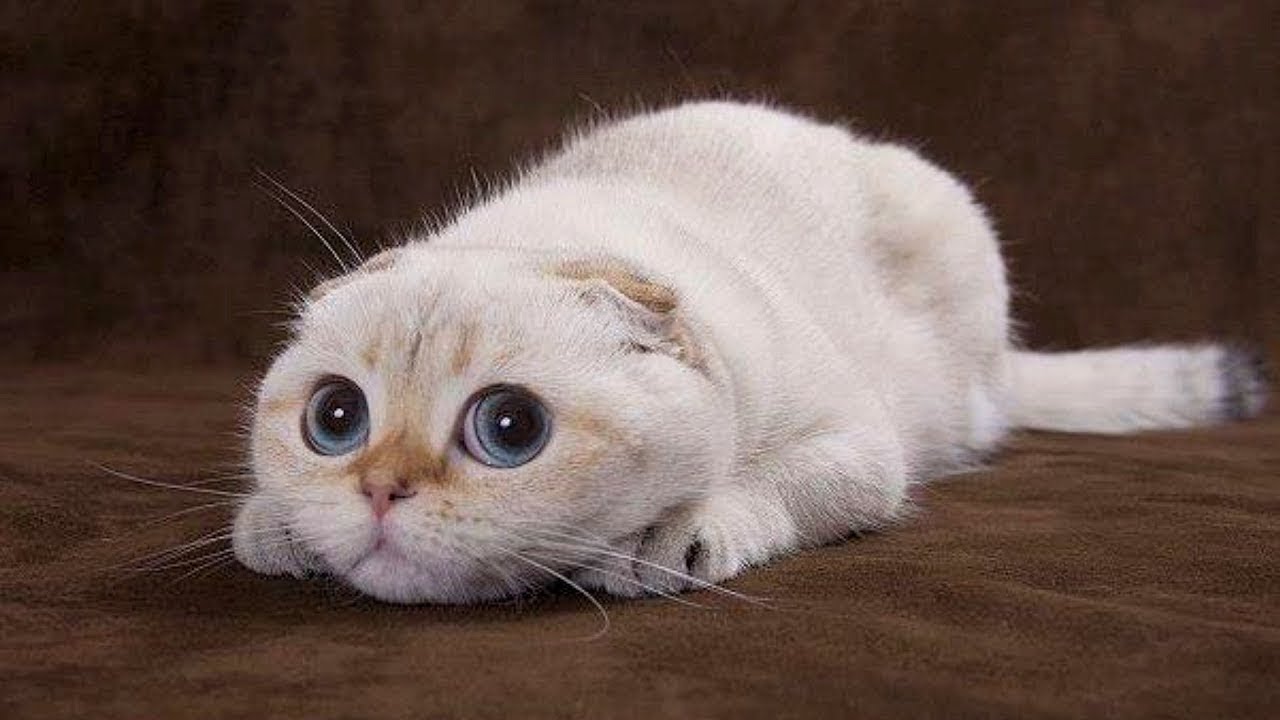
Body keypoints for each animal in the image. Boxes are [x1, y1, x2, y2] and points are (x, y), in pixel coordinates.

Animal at [232, 101, 1269, 604]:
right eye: (336, 418)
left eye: (510, 428)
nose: (378, 492)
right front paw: (278, 528)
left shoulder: (858, 449)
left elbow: (769, 489)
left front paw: (662, 543)